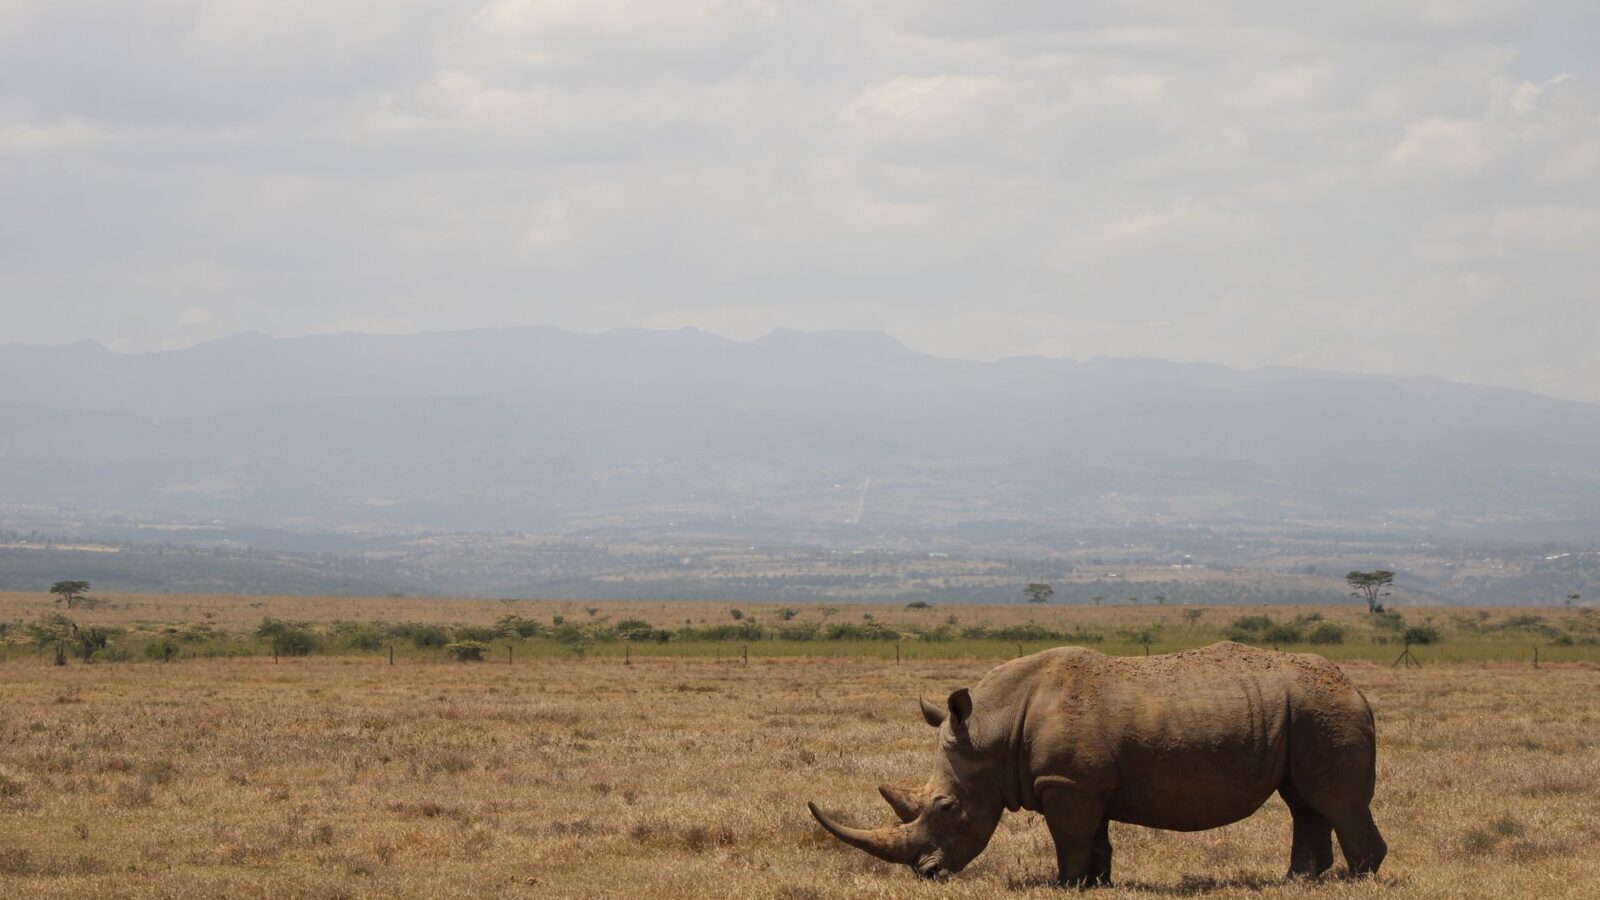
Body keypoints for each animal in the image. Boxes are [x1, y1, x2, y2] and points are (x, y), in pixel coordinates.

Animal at [808, 642, 1386, 886]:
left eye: (946, 807)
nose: (927, 874)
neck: (993, 729)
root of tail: (1358, 688)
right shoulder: (1084, 782)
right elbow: (1097, 838)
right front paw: (1097, 884)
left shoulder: (1066, 783)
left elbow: (1070, 839)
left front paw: (1064, 885)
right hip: (1304, 712)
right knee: (1302, 799)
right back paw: (1300, 880)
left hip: (1324, 710)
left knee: (1336, 800)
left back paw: (1357, 879)